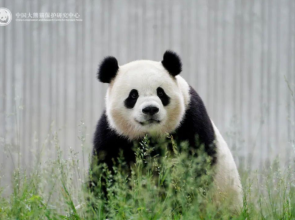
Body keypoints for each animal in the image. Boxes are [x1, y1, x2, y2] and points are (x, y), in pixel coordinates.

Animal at [89, 50, 244, 211]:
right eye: (133, 95)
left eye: (161, 93)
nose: (150, 109)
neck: (150, 136)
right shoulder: (113, 134)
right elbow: (106, 173)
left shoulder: (190, 120)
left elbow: (193, 167)